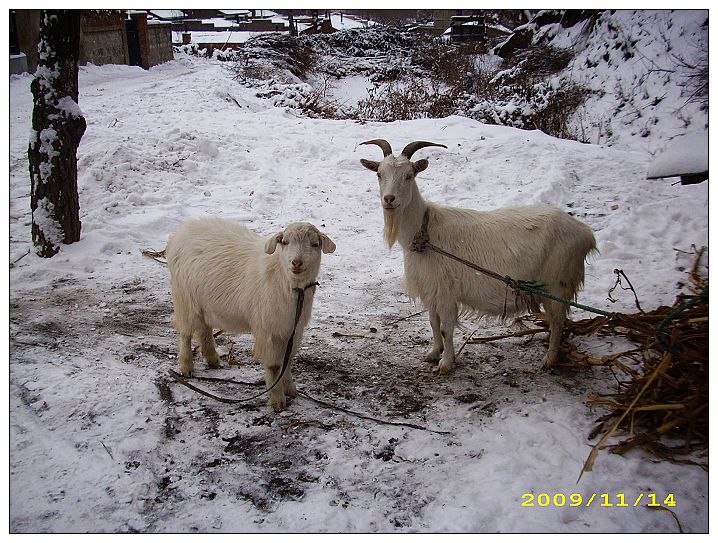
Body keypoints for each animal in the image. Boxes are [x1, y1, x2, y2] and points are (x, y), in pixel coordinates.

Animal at [165, 218, 336, 412]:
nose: (297, 263)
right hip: (185, 298)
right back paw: (186, 366)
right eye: (285, 242)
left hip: (204, 302)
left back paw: (212, 358)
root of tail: (180, 233)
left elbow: (288, 360)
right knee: (185, 333)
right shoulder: (269, 330)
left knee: (204, 328)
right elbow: (275, 366)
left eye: (315, 244)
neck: (286, 281)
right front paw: (277, 400)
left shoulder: (293, 330)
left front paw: (291, 389)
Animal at [359, 139, 597, 374]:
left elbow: (445, 328)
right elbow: (433, 323)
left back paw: (549, 359)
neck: (425, 231)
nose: (389, 199)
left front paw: (446, 363)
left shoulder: (446, 291)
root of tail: (586, 234)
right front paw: (433, 353)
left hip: (557, 285)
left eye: (409, 175)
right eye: (379, 173)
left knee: (558, 321)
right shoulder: (431, 290)